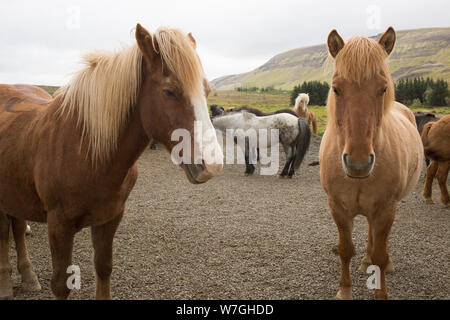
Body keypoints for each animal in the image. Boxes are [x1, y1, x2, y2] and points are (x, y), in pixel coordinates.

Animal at [0, 23, 223, 298]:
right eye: (169, 92)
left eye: (207, 91)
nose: (212, 165)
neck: (88, 150)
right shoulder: (59, 225)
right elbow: (61, 284)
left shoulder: (110, 217)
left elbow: (104, 267)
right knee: (5, 233)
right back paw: (5, 283)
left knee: (17, 228)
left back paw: (28, 277)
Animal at [318, 28, 424, 300]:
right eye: (336, 89)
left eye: (383, 89)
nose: (358, 163)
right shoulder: (337, 208)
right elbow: (345, 249)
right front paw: (344, 291)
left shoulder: (386, 210)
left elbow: (380, 254)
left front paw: (381, 292)